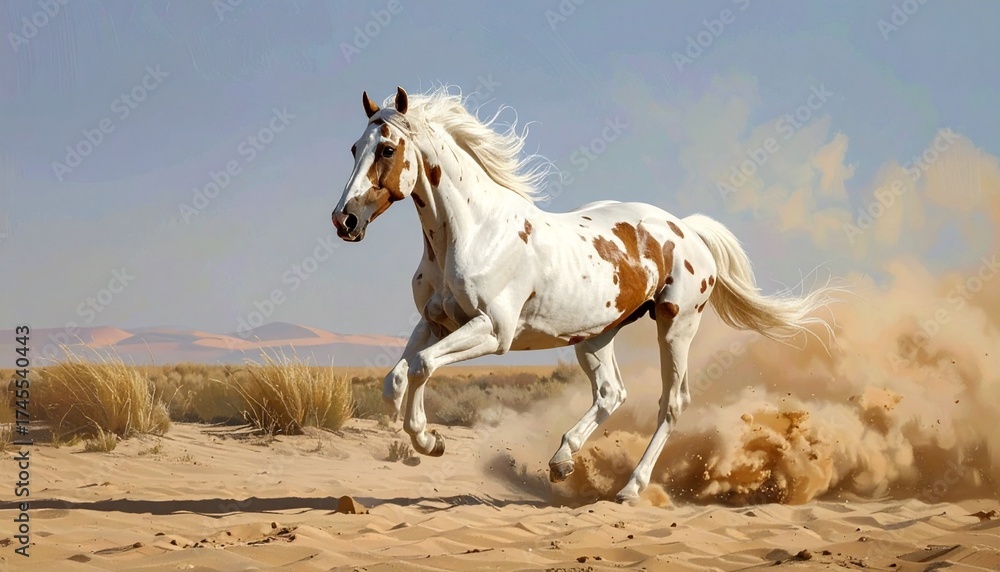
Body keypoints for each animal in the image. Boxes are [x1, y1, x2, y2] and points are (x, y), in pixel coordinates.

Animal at [332, 86, 837, 503]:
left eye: (387, 149)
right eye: (354, 148)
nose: (344, 220)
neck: (474, 232)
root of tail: (686, 228)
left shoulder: (492, 331)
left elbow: (420, 366)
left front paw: (428, 440)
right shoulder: (437, 322)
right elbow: (397, 377)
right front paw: (427, 438)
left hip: (676, 325)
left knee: (671, 403)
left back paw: (630, 487)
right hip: (595, 336)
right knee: (612, 394)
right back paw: (562, 462)